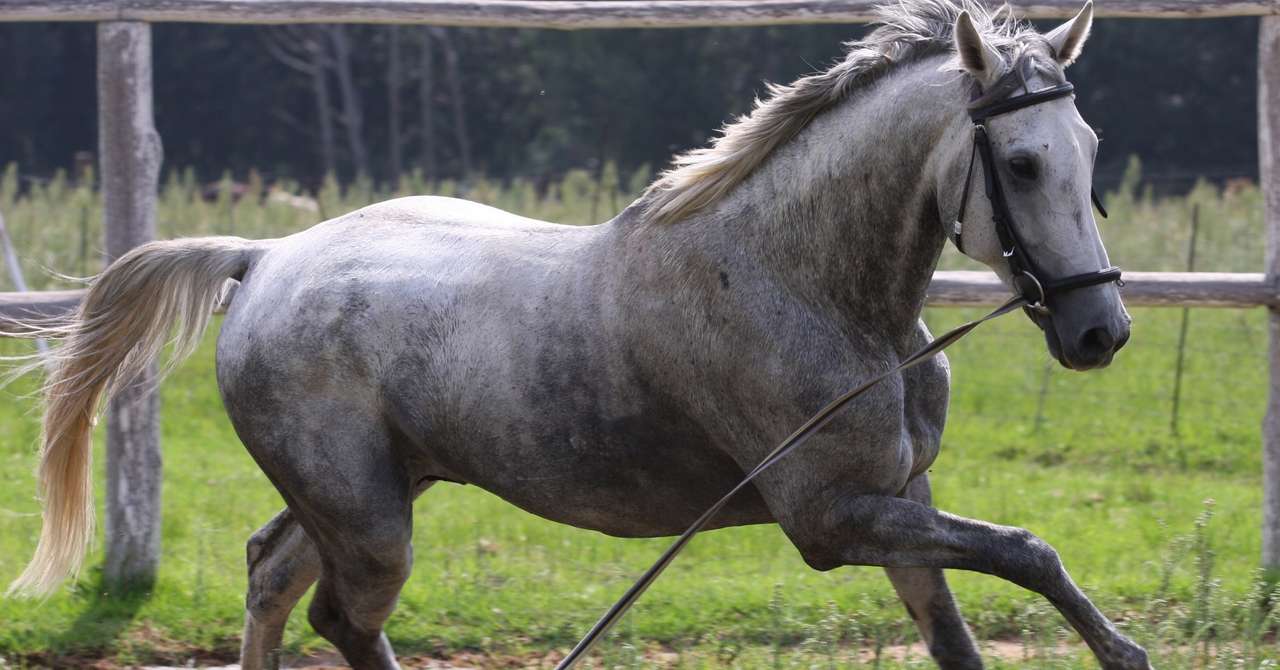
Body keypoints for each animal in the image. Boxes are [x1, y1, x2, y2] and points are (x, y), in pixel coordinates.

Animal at [7, 2, 1152, 666]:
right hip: (369, 516)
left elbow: (962, 622)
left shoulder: (900, 495)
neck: (809, 286)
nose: (1100, 330)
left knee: (270, 575)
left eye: (1090, 144)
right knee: (342, 618)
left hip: (370, 491)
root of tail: (265, 258)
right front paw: (1124, 651)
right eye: (1020, 162)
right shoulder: (830, 518)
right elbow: (1030, 549)